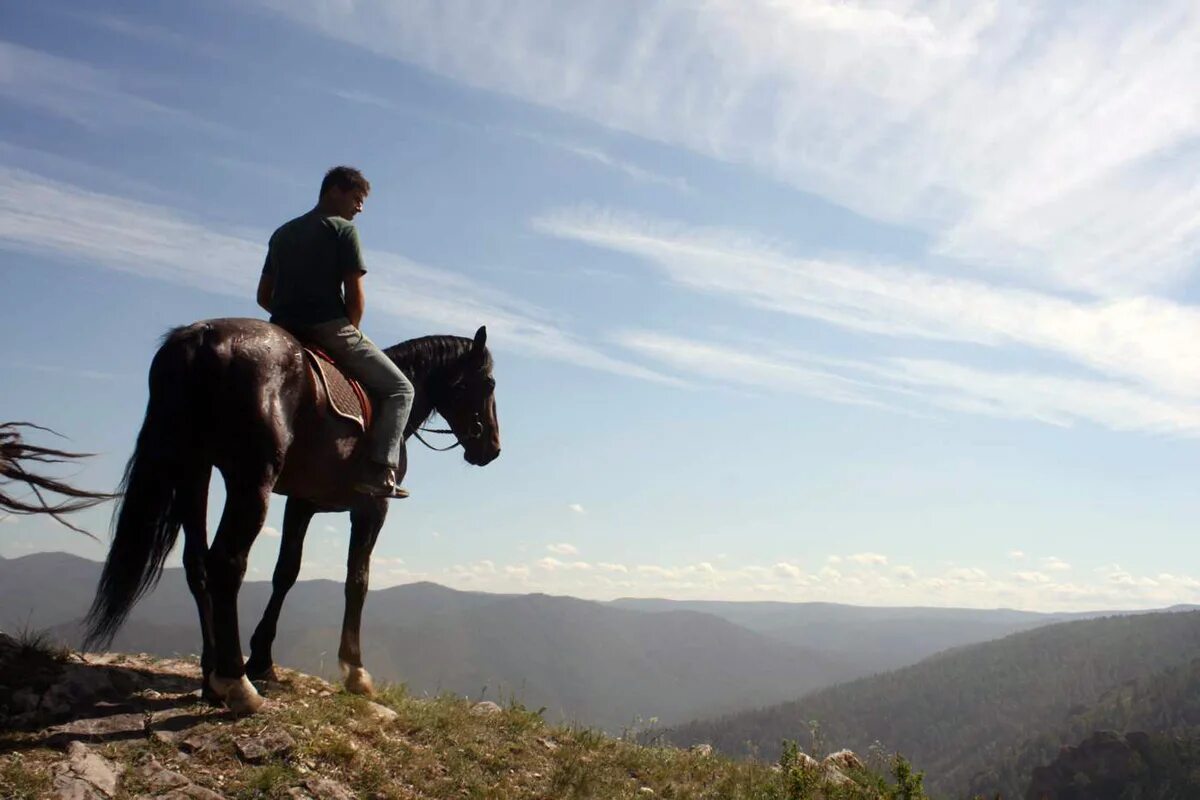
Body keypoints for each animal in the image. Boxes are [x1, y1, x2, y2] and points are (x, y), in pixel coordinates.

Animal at [81, 319, 501, 714]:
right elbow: (357, 580)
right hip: (251, 480)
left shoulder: (302, 503)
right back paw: (236, 684)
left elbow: (286, 572)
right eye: (489, 382)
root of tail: (201, 337)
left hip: (193, 470)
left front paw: (262, 659)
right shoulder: (372, 507)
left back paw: (211, 677)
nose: (493, 448)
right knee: (226, 563)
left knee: (197, 565)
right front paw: (355, 671)